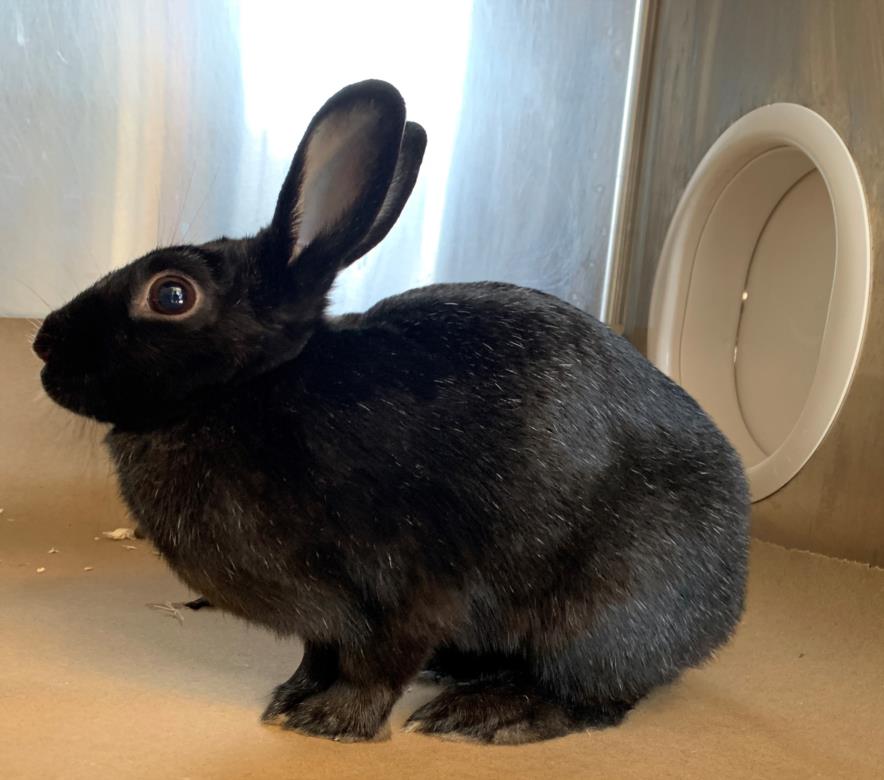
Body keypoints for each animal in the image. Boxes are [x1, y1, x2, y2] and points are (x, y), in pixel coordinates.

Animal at [38, 82, 748, 748]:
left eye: (171, 295)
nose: (43, 343)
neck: (252, 389)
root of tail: (726, 601)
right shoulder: (325, 619)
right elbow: (318, 655)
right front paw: (289, 698)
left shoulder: (404, 590)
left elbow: (377, 666)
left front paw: (329, 721)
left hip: (601, 608)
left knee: (593, 696)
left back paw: (489, 713)